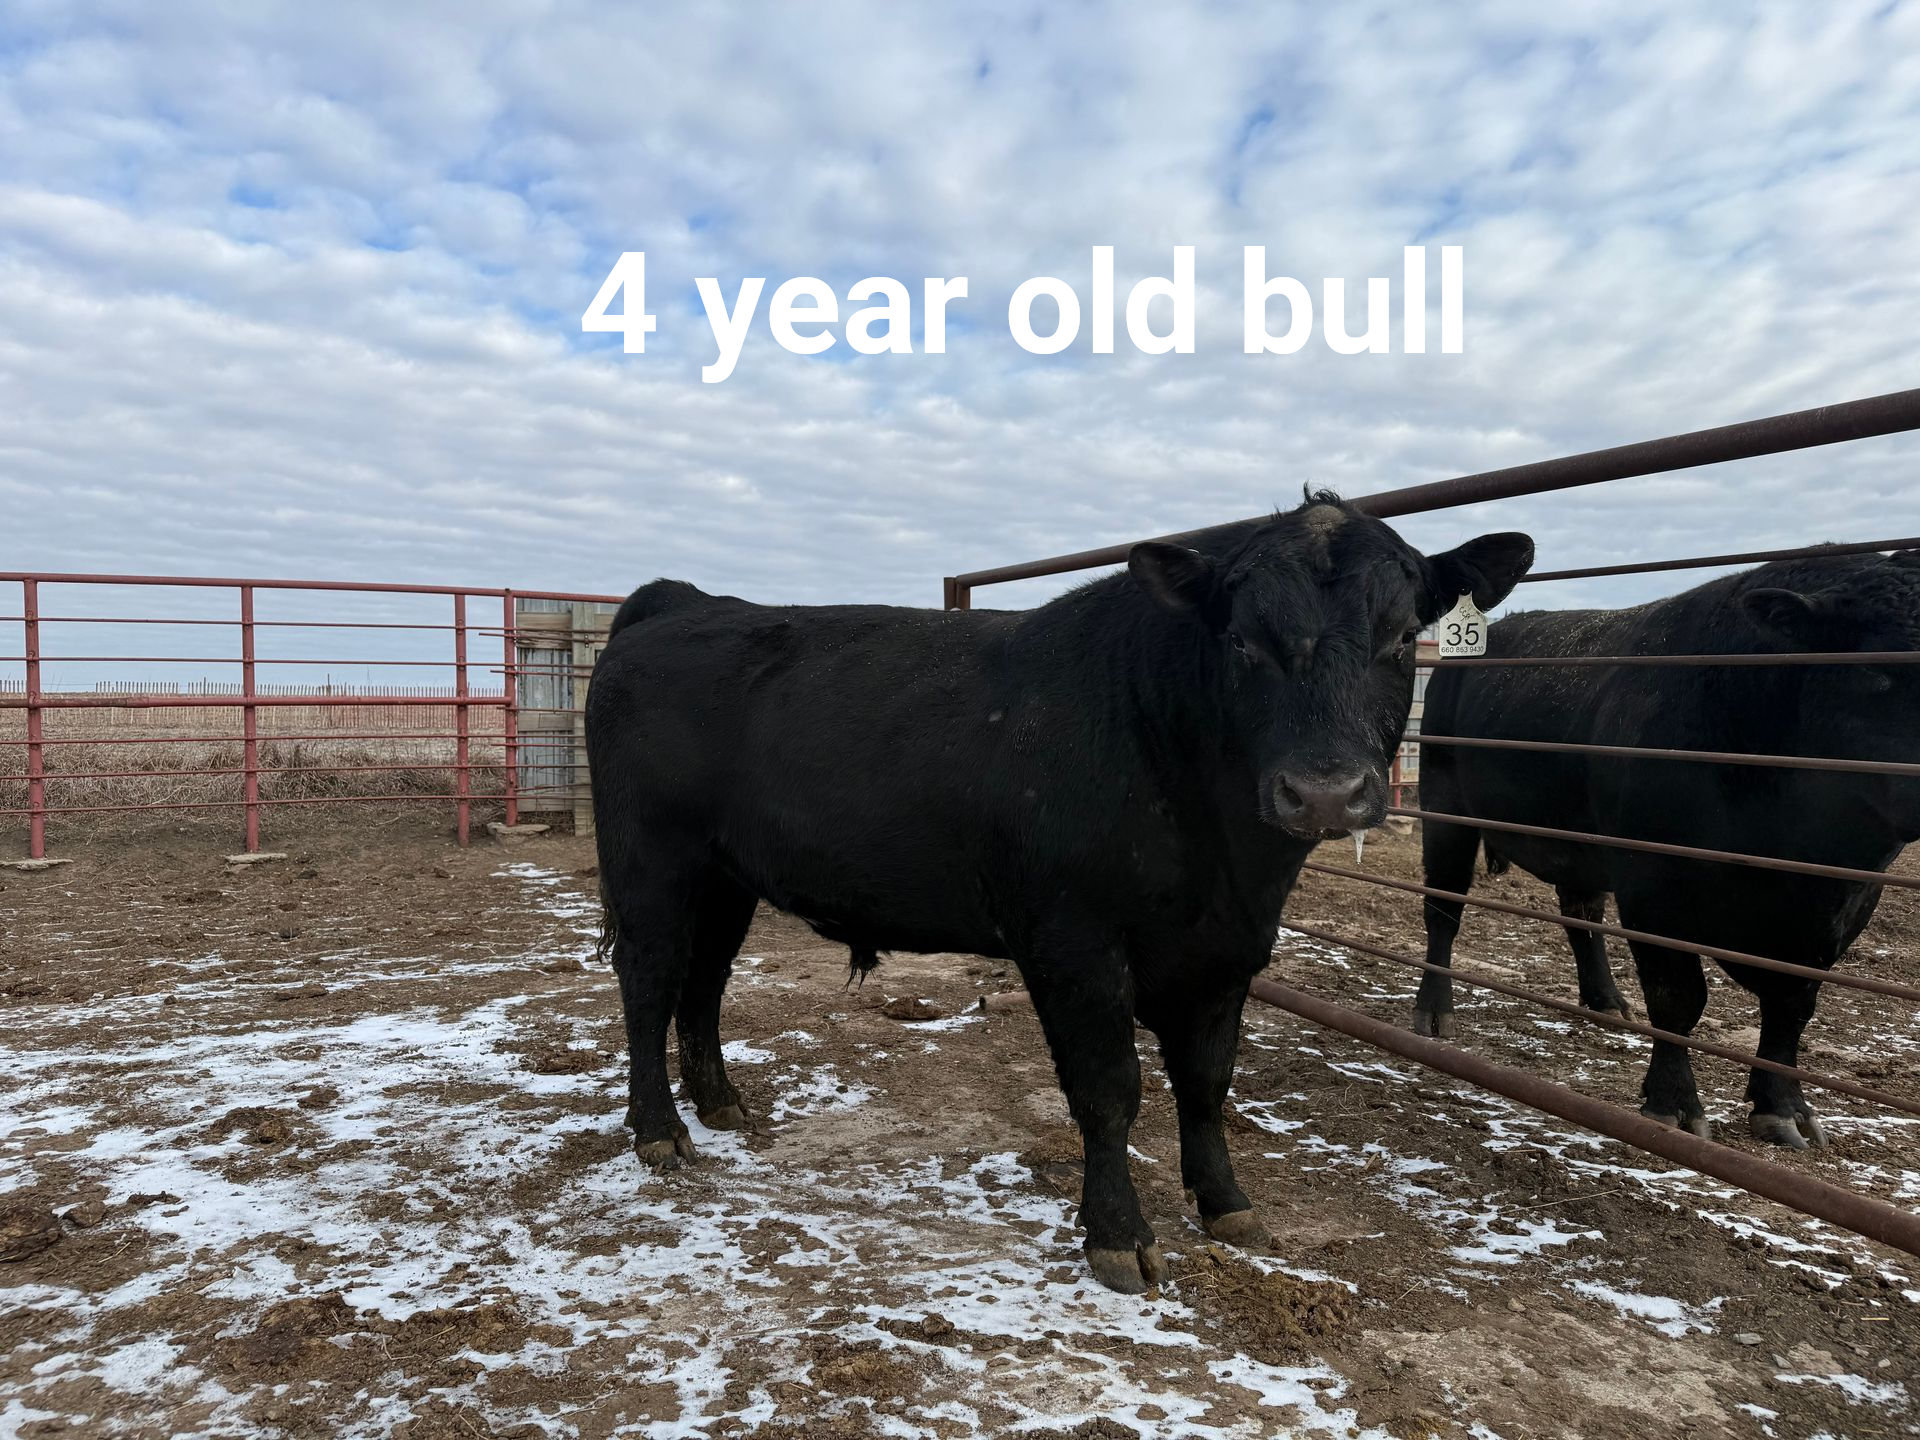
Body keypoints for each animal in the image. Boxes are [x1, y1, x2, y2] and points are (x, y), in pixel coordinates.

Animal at [587, 493, 1534, 1292]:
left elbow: (1207, 1080)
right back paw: (660, 1130)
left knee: (703, 982)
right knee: (649, 980)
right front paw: (1118, 1234)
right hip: (651, 863)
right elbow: (1110, 1087)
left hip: (724, 877)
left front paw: (1226, 1203)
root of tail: (685, 601)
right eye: (1241, 642)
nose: (1326, 792)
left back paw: (718, 1101)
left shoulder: (1228, 949)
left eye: (1401, 638)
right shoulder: (1073, 939)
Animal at [1413, 549, 1920, 1149]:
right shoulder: (1653, 888)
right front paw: (1673, 1104)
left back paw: (1607, 1003)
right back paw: (1434, 1013)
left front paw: (1785, 1109)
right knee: (1444, 910)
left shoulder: (1844, 905)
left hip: (1577, 846)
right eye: (1875, 669)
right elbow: (1678, 998)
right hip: (1445, 809)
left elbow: (1792, 1007)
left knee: (1581, 916)